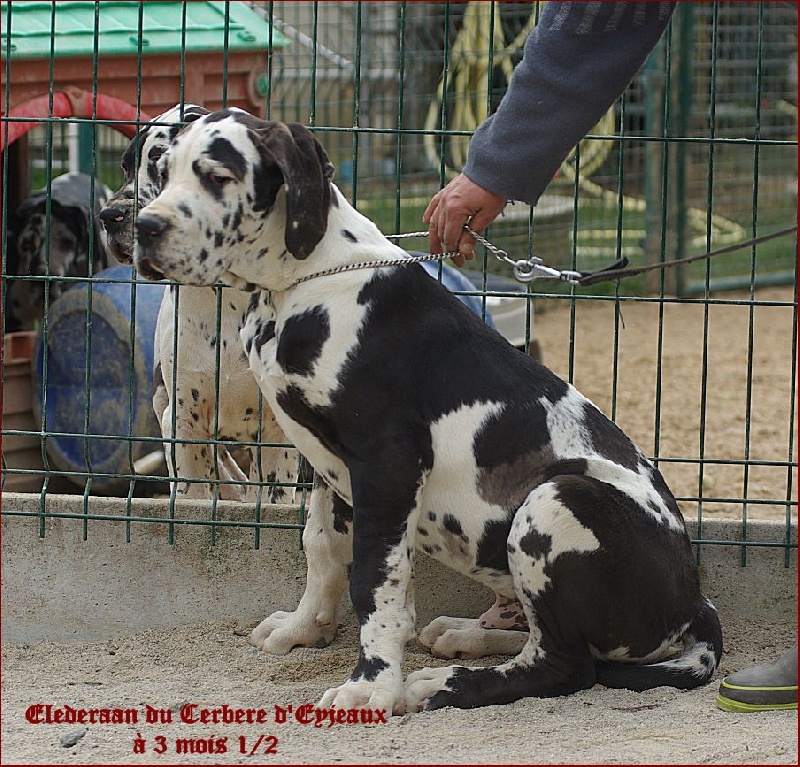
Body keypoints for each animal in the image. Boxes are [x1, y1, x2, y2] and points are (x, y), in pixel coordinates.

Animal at [133, 111, 724, 716]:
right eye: (162, 168)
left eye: (217, 175)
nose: (142, 228)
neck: (303, 283)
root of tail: (695, 599)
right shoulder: (324, 460)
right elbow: (321, 545)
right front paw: (306, 627)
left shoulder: (386, 461)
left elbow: (377, 584)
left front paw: (371, 687)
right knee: (546, 639)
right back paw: (466, 636)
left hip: (555, 499)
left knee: (567, 664)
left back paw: (449, 683)